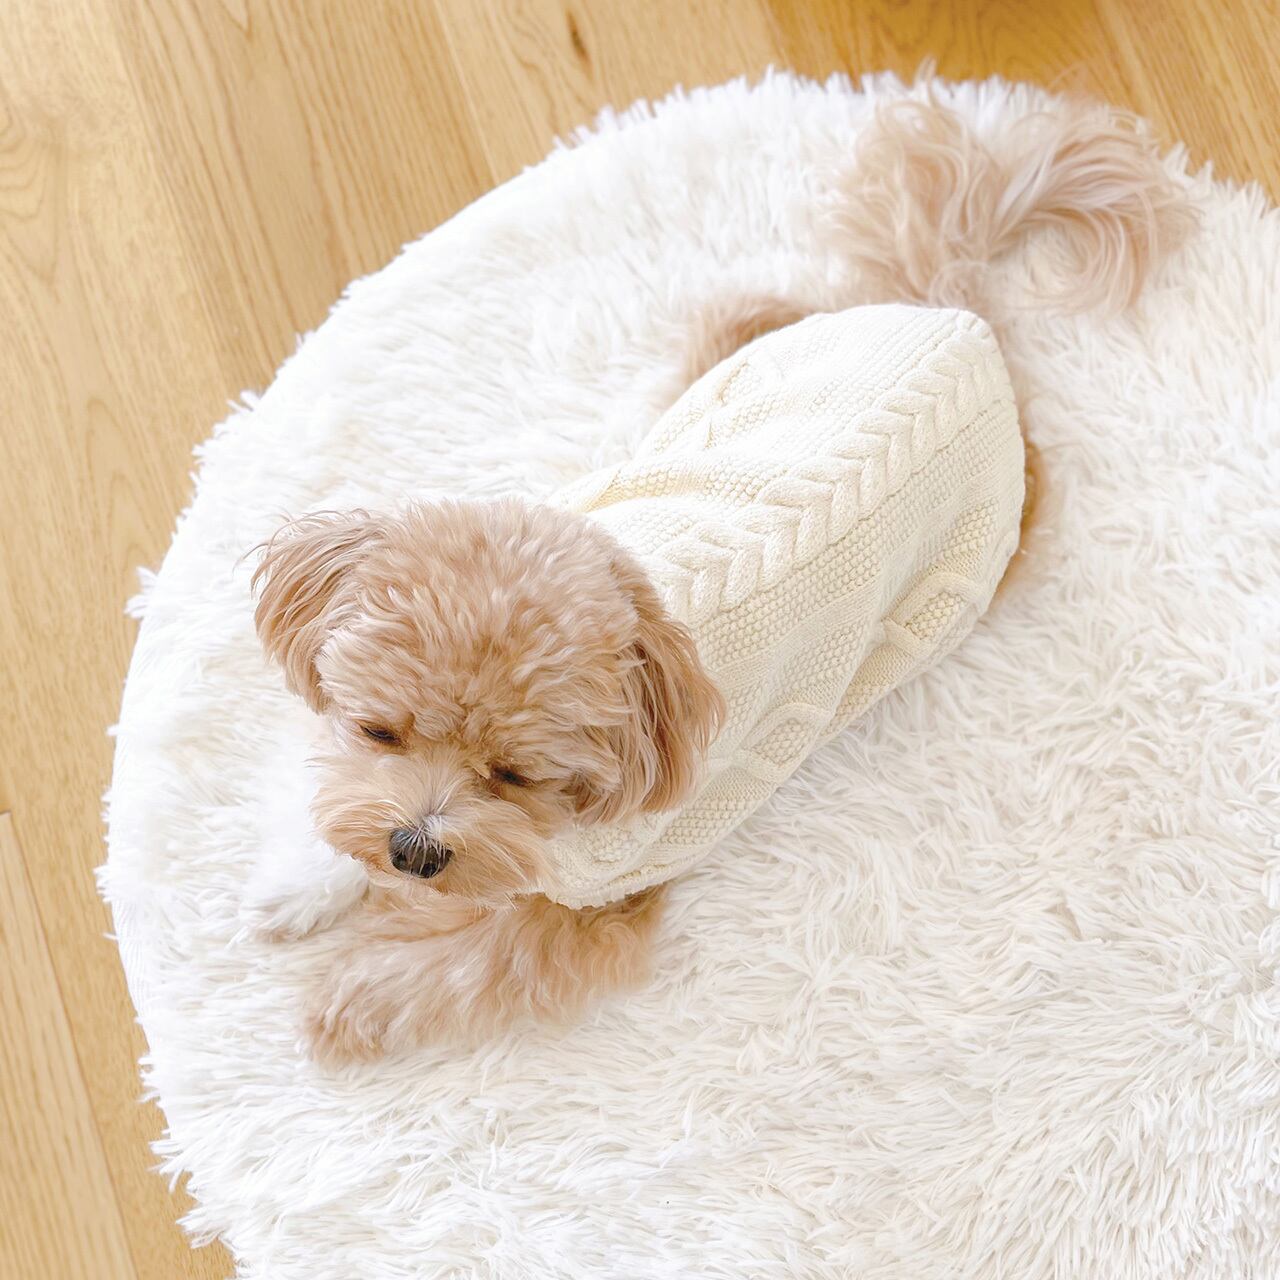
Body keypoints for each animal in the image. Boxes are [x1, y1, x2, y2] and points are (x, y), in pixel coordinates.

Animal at [249, 90, 1193, 1063]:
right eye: (379, 731)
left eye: (516, 777)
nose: (414, 851)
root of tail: (962, 328)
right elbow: (338, 803)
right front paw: (305, 880)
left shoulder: (599, 900)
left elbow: (470, 961)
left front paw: (344, 1002)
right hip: (745, 351)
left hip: (972, 570)